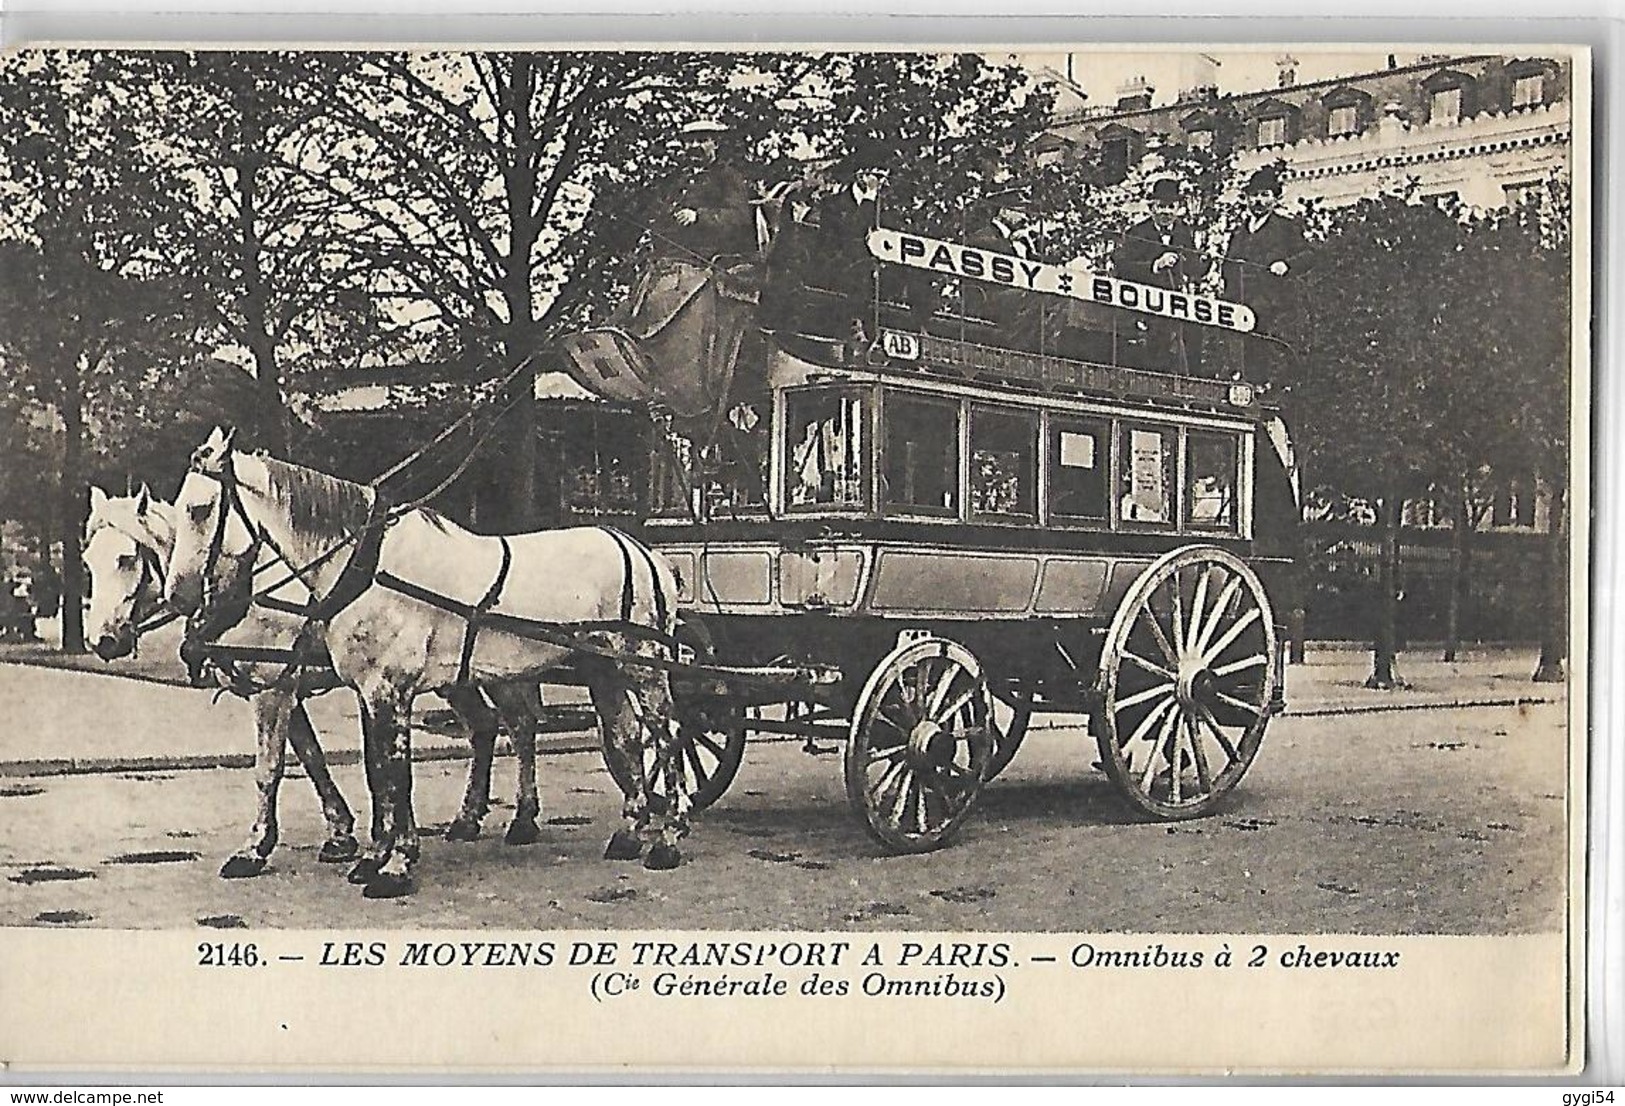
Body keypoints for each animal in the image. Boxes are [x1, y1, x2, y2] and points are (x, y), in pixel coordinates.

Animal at [166, 425, 692, 889]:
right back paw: (626, 832)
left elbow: (389, 777)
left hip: (643, 664)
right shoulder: (364, 690)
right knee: (620, 736)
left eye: (200, 509)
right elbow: (376, 773)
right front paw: (372, 857)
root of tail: (644, 551)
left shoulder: (364, 689)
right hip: (601, 668)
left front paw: (394, 865)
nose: (179, 596)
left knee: (666, 735)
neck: (365, 568)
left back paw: (668, 837)